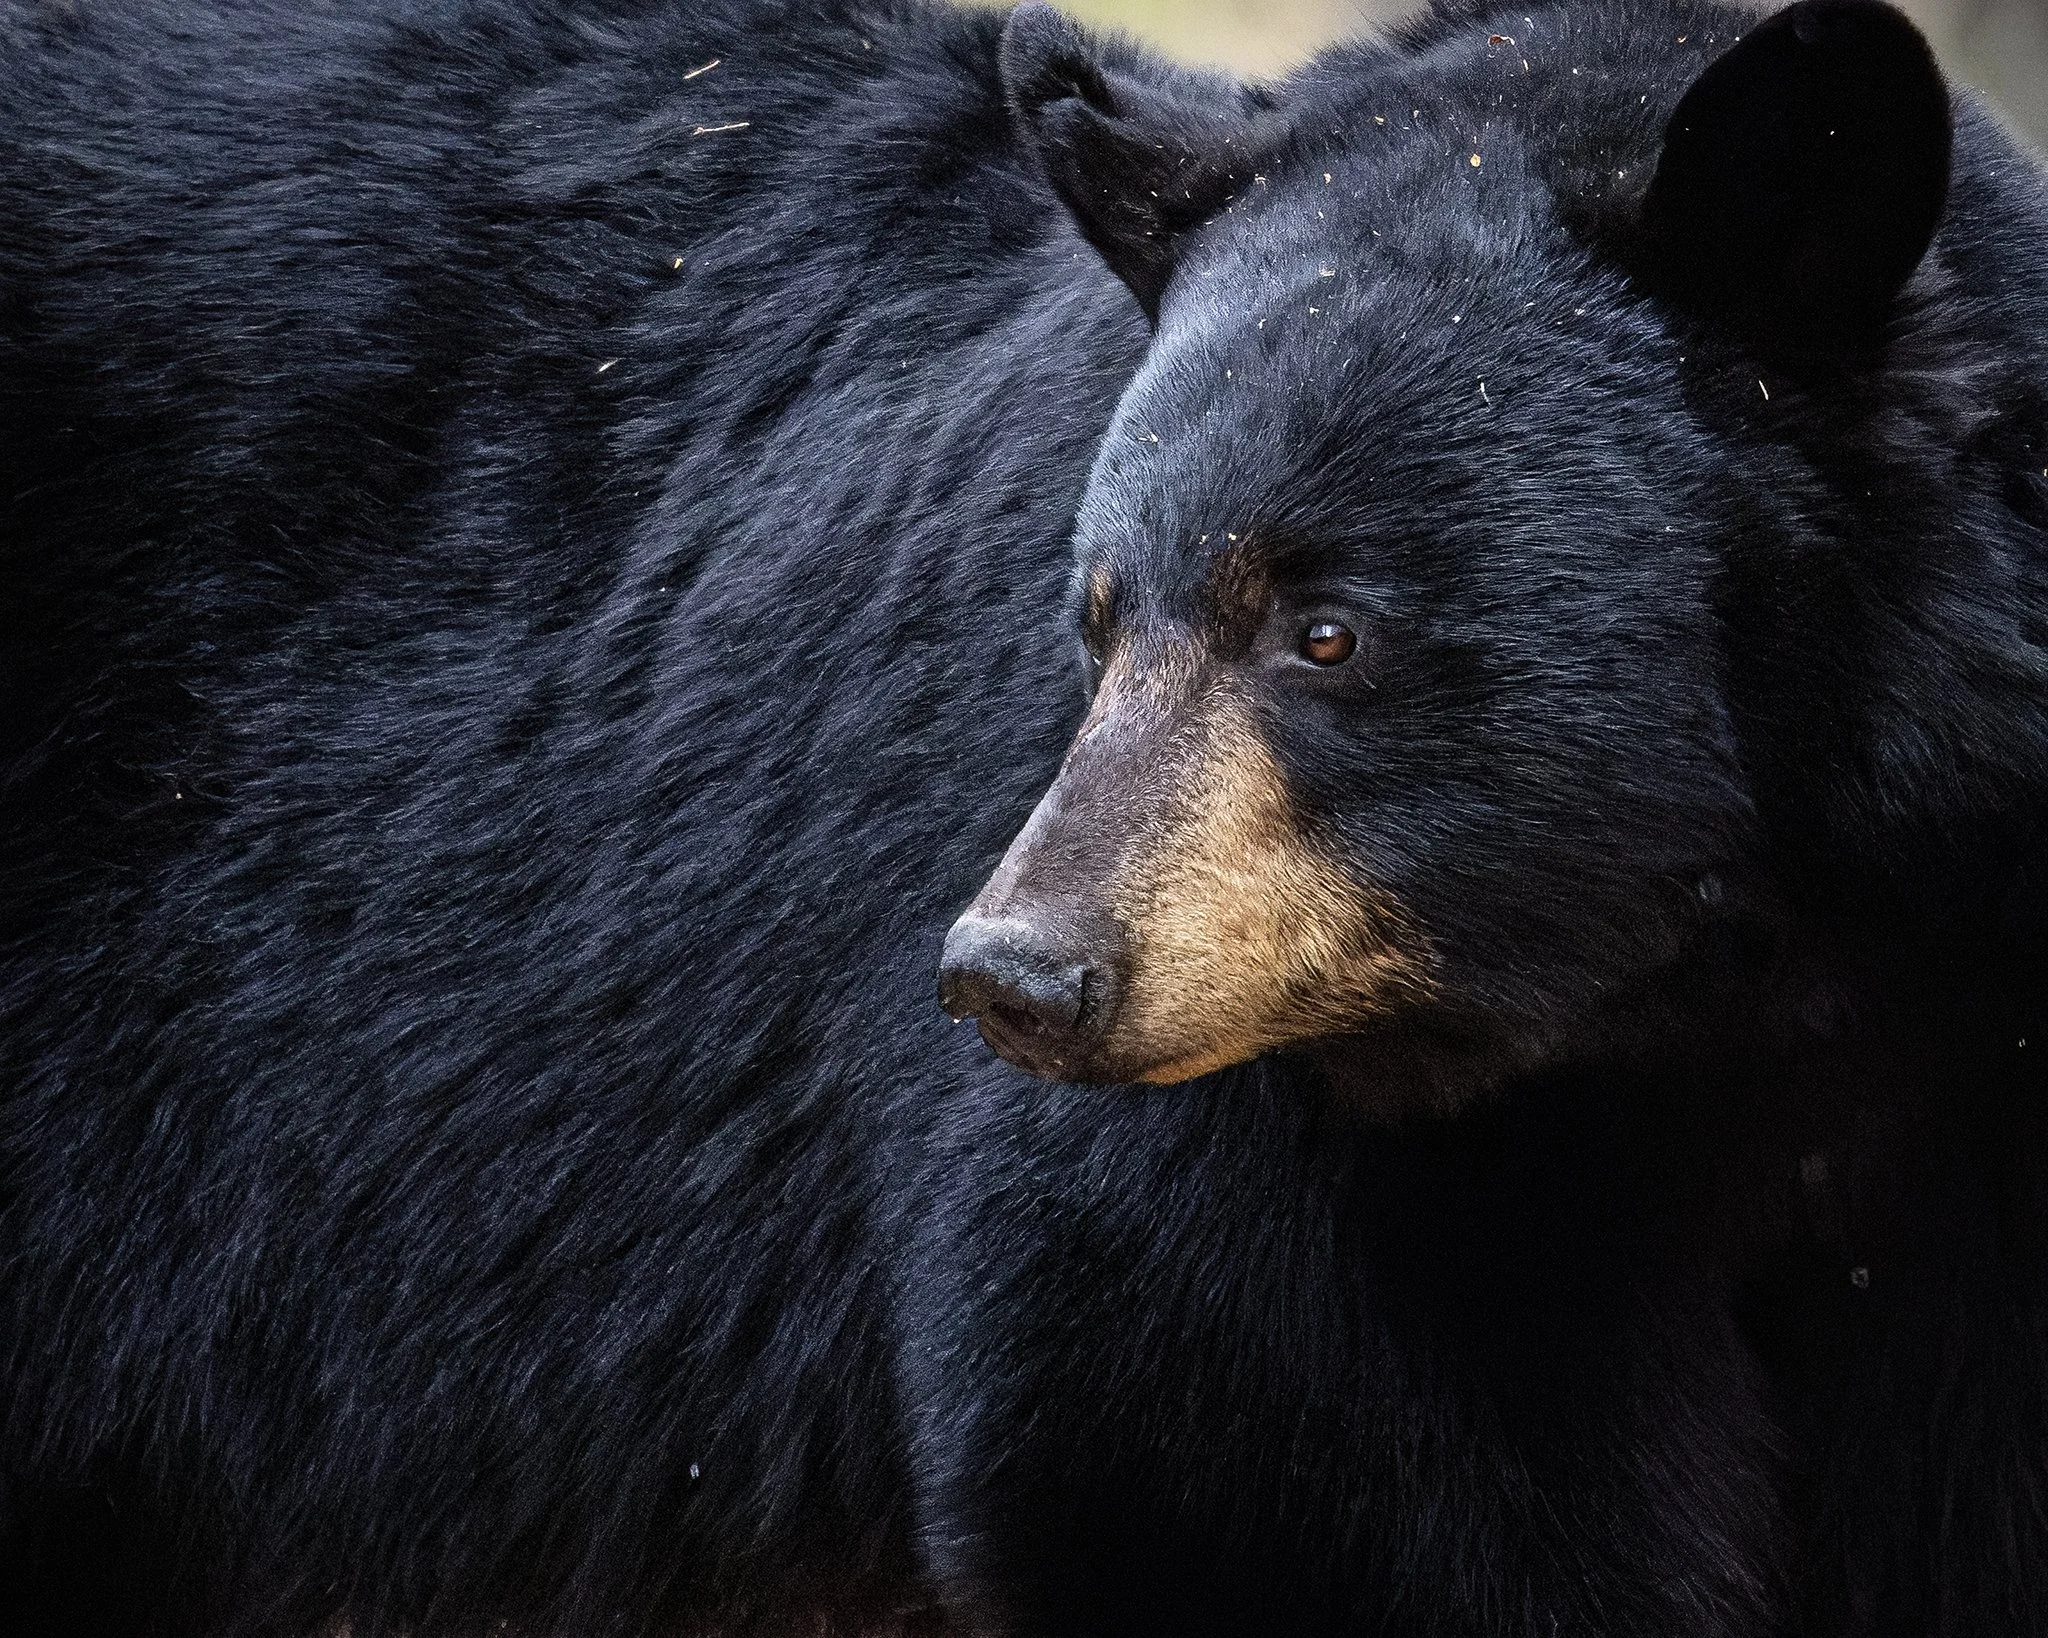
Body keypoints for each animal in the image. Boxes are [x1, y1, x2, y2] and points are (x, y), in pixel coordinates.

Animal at [0, 3, 2041, 1638]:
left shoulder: (1970, 1071)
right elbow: (1258, 1459)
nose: (1021, 977)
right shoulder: (1292, 1163)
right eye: (1096, 609)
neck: (1715, 988)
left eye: (1325, 626)